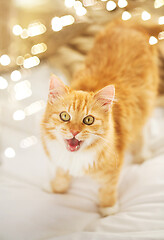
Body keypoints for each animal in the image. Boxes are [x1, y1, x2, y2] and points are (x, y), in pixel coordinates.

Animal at [41, 20, 161, 216]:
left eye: (88, 120)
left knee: (142, 129)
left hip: (146, 99)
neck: (76, 157)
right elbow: (61, 174)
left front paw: (108, 209)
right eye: (64, 116)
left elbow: (107, 189)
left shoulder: (113, 169)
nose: (74, 131)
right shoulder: (60, 160)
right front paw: (56, 187)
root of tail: (130, 24)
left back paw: (141, 154)